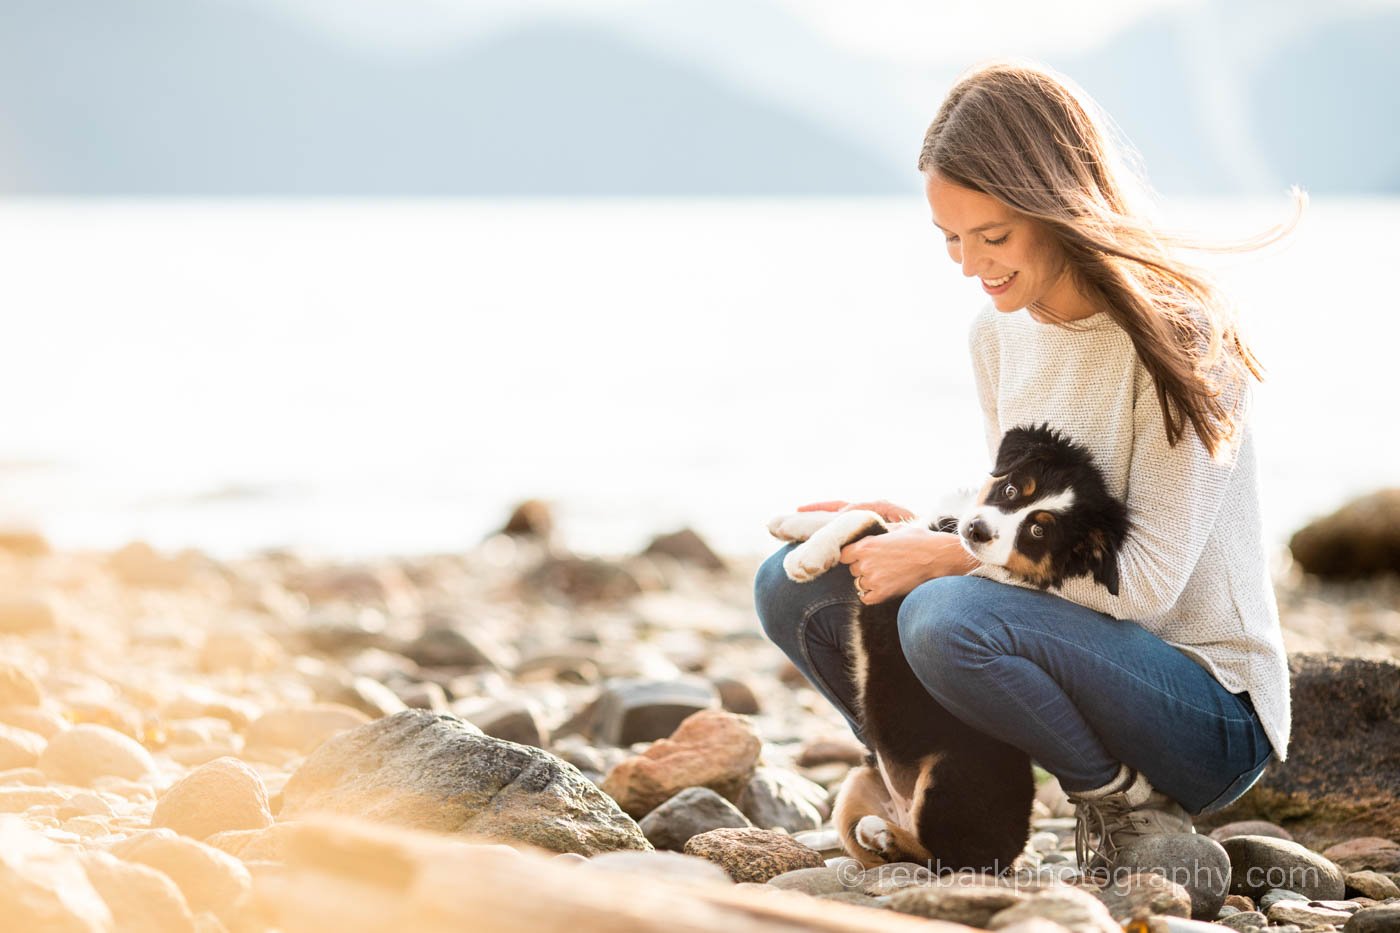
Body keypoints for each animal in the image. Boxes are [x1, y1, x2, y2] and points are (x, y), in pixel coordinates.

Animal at [767, 420, 1125, 874]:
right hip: (853, 788)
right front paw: (792, 521)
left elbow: (868, 519)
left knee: (947, 856)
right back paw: (878, 835)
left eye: (1037, 531)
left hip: (950, 774)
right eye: (1011, 490)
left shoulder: (889, 578)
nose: (977, 530)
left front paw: (807, 558)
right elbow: (875, 513)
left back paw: (887, 835)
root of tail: (1013, 851)